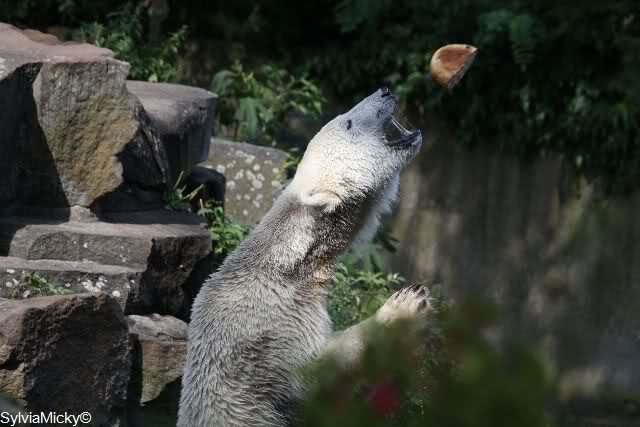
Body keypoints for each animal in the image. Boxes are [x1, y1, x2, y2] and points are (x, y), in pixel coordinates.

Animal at [178, 87, 431, 427]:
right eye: (348, 122)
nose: (385, 91)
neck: (290, 263)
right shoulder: (267, 324)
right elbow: (314, 375)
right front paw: (406, 305)